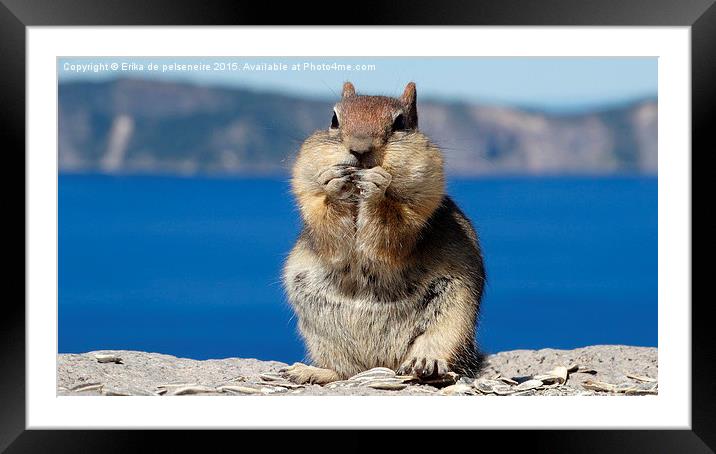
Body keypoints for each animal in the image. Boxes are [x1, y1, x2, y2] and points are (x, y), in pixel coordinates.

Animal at [282, 80, 486, 384]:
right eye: (334, 120)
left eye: (399, 123)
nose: (359, 149)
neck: (357, 200)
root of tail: (379, 363)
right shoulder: (310, 197)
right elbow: (328, 232)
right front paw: (334, 185)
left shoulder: (421, 205)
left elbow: (393, 233)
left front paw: (378, 187)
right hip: (322, 336)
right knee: (345, 371)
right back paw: (310, 371)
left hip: (455, 317)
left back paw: (425, 364)